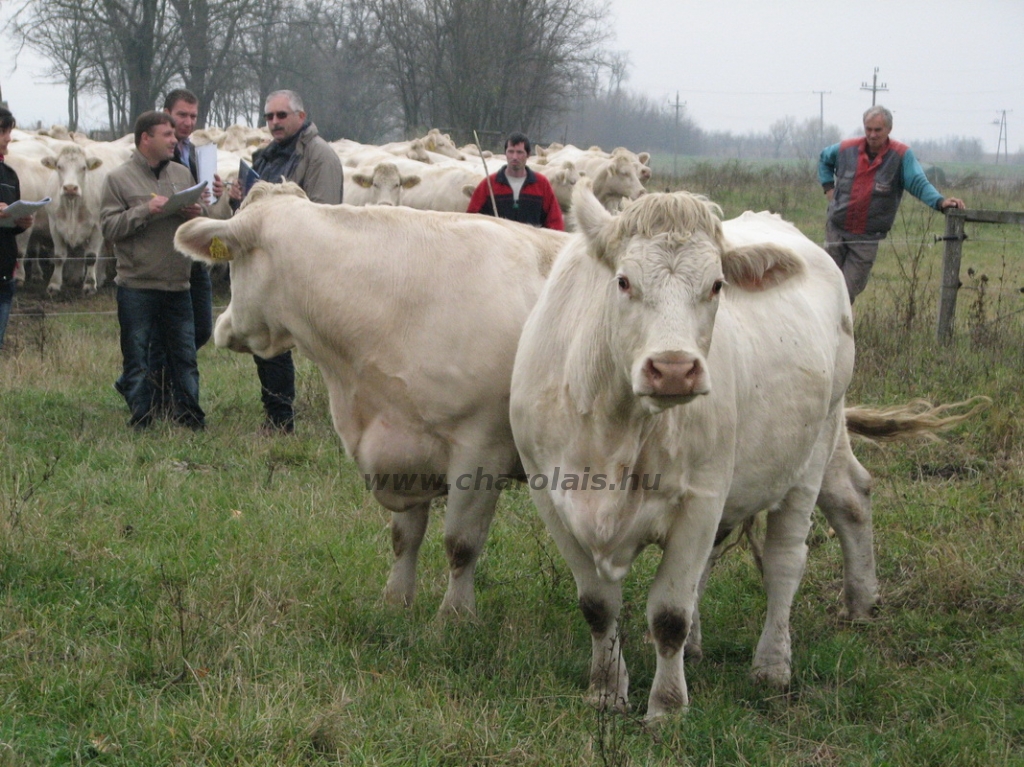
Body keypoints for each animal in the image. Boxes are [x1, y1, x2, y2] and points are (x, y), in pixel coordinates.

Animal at [177, 181, 573, 614]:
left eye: (233, 263)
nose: (222, 327)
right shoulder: (404, 443)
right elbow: (404, 538)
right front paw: (396, 601)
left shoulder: (481, 451)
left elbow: (461, 544)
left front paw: (455, 616)